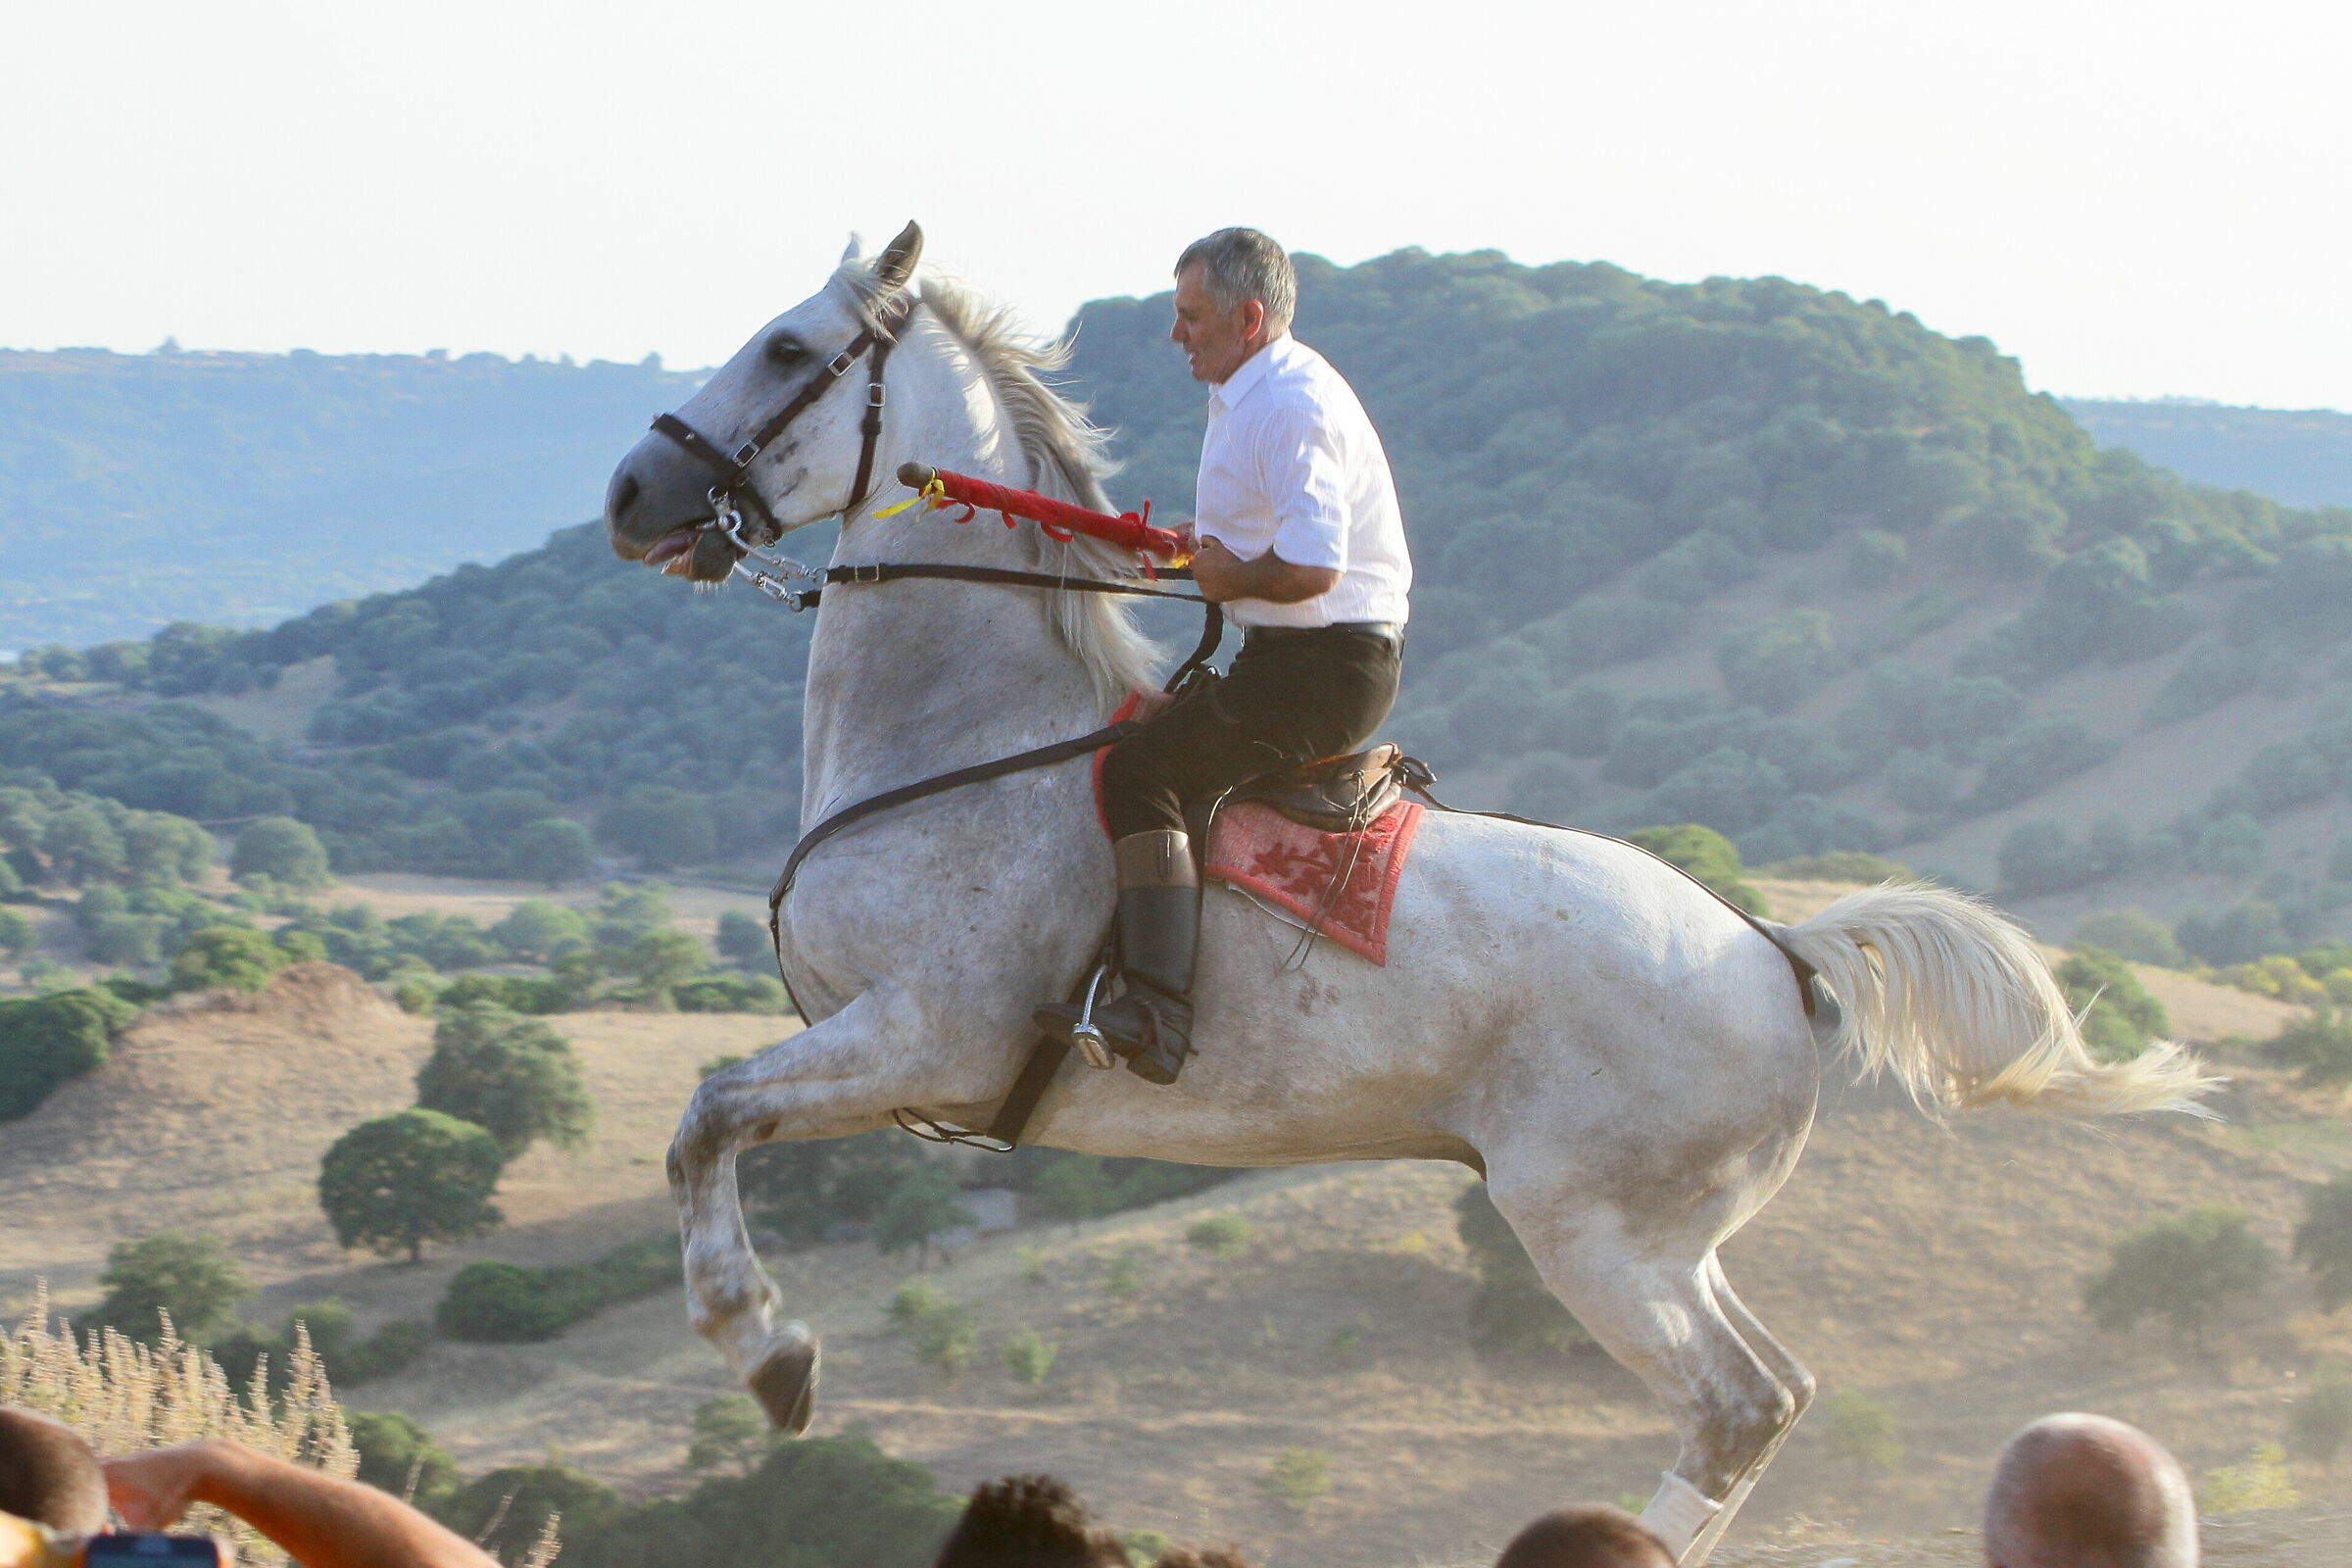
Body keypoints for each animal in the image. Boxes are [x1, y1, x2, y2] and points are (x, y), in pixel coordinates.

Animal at [600, 222, 2214, 1563]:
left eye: (788, 350)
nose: (631, 493)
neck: (964, 740)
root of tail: (1773, 951)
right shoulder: (897, 1060)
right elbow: (712, 1123)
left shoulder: (930, 1035)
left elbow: (705, 1116)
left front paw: (766, 1347)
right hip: (1668, 1240)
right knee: (1774, 1392)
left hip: (1596, 1233)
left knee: (1734, 1406)